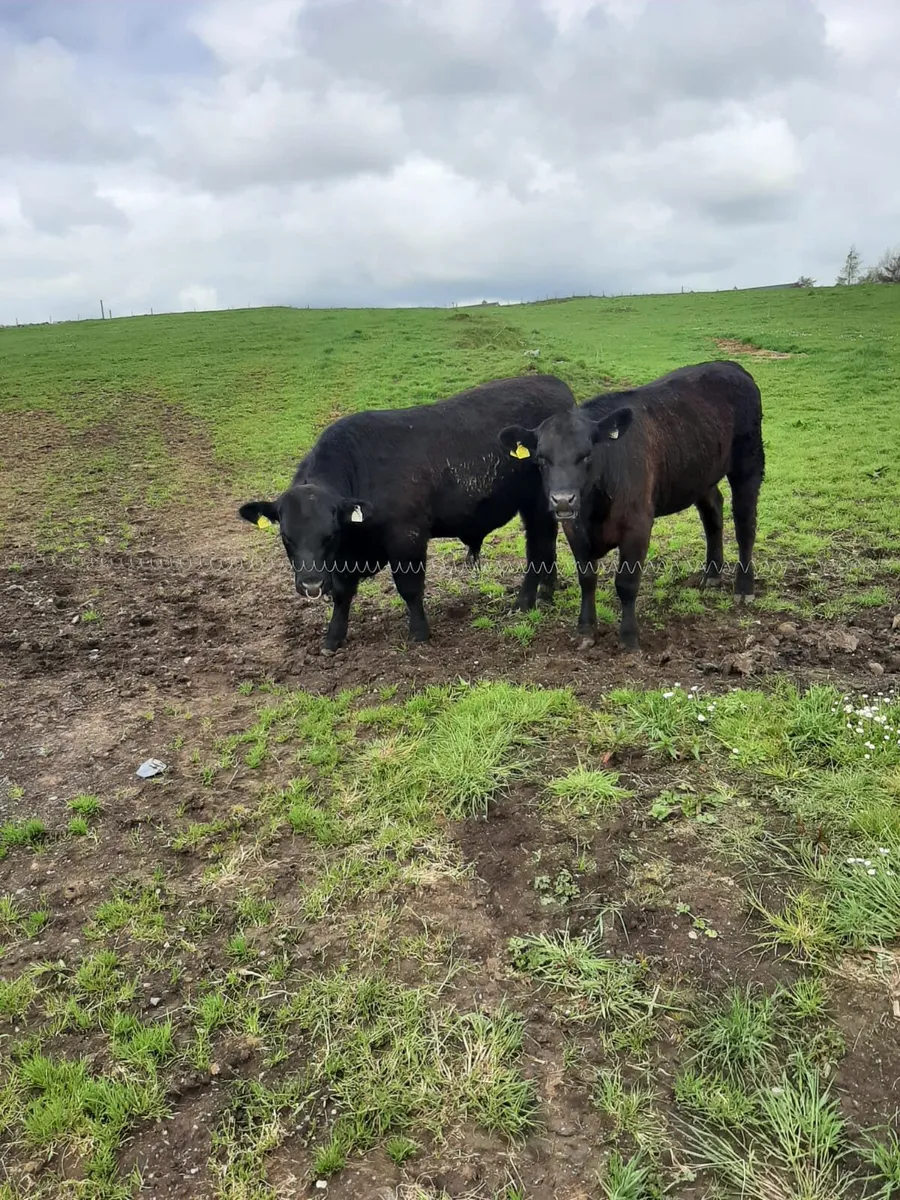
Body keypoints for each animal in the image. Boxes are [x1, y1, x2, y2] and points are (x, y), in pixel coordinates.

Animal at [238, 374, 576, 653]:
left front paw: (419, 632)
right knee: (546, 544)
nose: (310, 585)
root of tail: (553, 382)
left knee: (537, 548)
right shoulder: (344, 559)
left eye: (329, 534)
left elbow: (409, 587)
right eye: (286, 537)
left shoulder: (407, 536)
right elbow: (342, 594)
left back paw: (524, 601)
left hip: (537, 504)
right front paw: (333, 638)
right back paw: (547, 592)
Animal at [498, 360, 765, 652]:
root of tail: (729, 365)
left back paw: (744, 588)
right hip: (701, 475)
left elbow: (626, 583)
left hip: (749, 462)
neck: (595, 510)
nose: (563, 499)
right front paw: (586, 629)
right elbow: (587, 579)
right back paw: (712, 575)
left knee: (745, 525)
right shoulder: (573, 528)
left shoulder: (637, 526)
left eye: (587, 454)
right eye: (542, 459)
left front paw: (628, 637)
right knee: (713, 513)